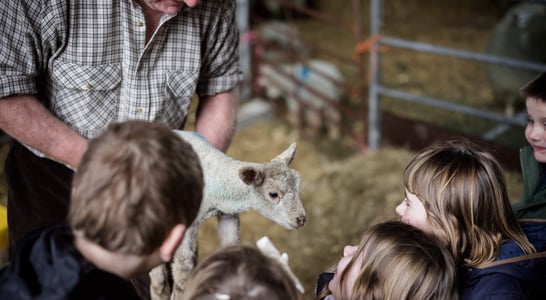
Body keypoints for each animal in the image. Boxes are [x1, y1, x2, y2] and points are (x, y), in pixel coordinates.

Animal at [149, 131, 304, 300]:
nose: (301, 219)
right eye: (273, 194)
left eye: (298, 186)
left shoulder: (228, 215)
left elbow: (231, 244)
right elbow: (183, 268)